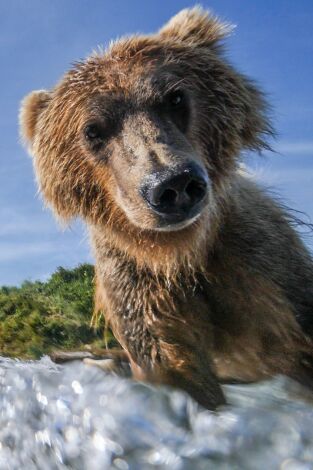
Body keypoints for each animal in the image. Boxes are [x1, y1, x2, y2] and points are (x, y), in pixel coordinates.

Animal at [19, 8, 312, 408]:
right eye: (93, 130)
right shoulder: (139, 285)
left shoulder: (258, 263)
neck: (182, 253)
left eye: (174, 98)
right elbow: (173, 363)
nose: (172, 185)